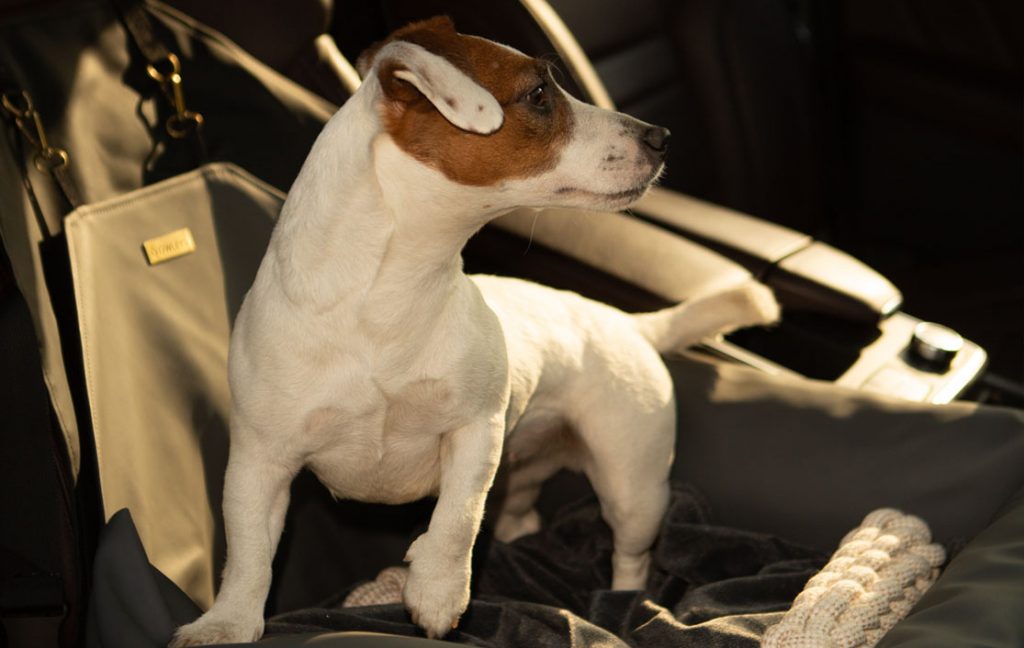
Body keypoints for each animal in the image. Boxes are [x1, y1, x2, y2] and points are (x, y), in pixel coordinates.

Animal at [172, 17, 778, 642]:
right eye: (539, 93)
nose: (661, 137)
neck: (387, 299)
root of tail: (627, 323)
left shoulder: (476, 429)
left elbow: (458, 517)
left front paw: (438, 589)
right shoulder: (259, 461)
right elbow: (249, 553)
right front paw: (226, 623)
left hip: (633, 483)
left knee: (629, 553)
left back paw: (622, 601)